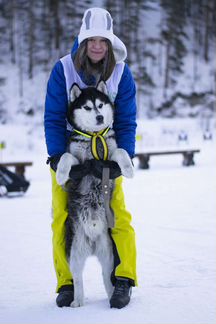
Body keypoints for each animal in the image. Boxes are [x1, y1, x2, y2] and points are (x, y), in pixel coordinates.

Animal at [55, 80, 133, 306]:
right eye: (87, 107)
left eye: (100, 105)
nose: (100, 117)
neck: (94, 136)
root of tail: (90, 243)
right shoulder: (75, 162)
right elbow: (65, 157)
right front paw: (60, 174)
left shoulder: (111, 156)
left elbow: (122, 152)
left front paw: (129, 169)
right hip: (74, 253)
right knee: (78, 278)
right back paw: (77, 300)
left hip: (108, 253)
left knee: (107, 276)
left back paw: (114, 295)